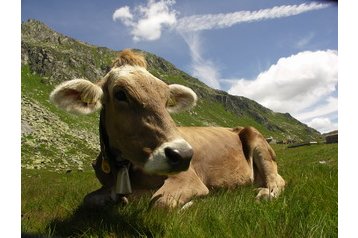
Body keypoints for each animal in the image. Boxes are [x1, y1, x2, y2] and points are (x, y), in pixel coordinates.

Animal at [49, 49, 286, 208]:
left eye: (165, 98)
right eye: (120, 94)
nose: (183, 155)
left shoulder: (189, 180)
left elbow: (160, 203)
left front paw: (191, 204)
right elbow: (87, 200)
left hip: (259, 143)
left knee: (277, 180)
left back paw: (264, 193)